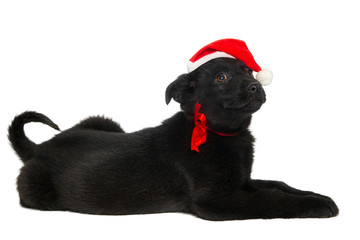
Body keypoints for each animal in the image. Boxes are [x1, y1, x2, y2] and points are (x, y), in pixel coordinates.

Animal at [8, 57, 338, 219]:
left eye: (249, 71)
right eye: (222, 78)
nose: (256, 87)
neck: (223, 134)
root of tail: (38, 149)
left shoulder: (241, 181)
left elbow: (279, 184)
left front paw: (317, 195)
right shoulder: (217, 198)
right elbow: (270, 198)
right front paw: (315, 206)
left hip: (105, 122)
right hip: (38, 194)